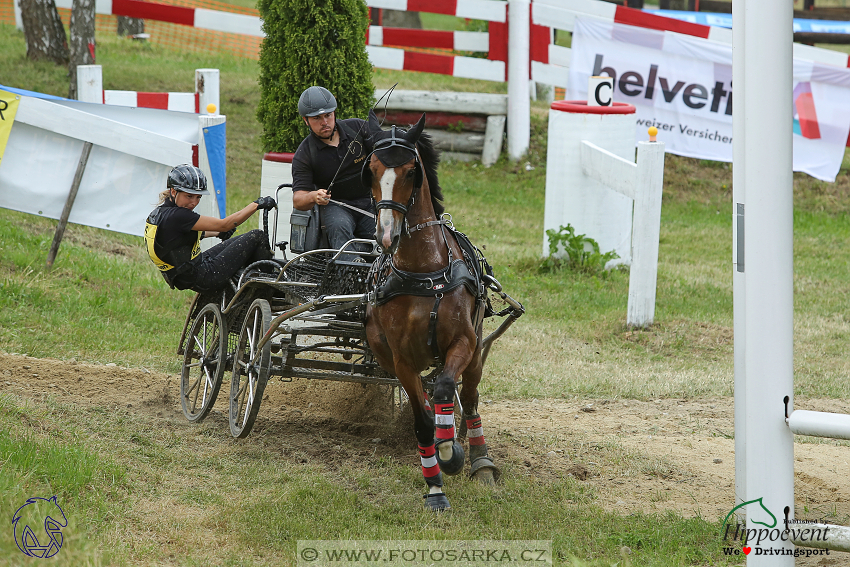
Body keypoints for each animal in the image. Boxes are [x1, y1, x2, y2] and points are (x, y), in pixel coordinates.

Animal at [360, 110, 496, 510]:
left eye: (410, 171)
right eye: (371, 169)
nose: (385, 235)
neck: (424, 273)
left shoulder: (463, 342)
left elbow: (447, 388)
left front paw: (451, 452)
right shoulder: (401, 360)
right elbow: (421, 420)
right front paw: (435, 487)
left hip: (477, 352)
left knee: (469, 400)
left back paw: (480, 459)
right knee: (425, 397)